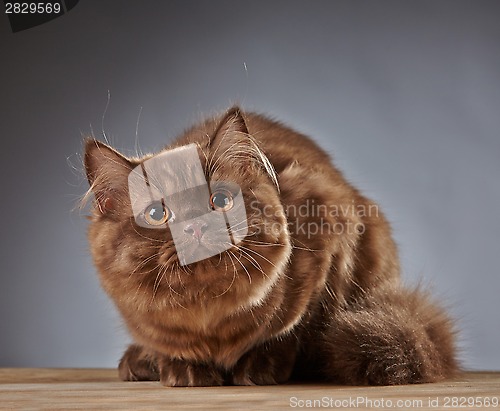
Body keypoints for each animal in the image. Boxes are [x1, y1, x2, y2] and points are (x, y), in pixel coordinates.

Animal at [84, 106, 458, 386]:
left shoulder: (329, 238)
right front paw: (183, 369)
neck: (208, 313)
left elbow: (292, 330)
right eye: (157, 214)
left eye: (220, 200)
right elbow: (168, 343)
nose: (196, 226)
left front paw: (258, 367)